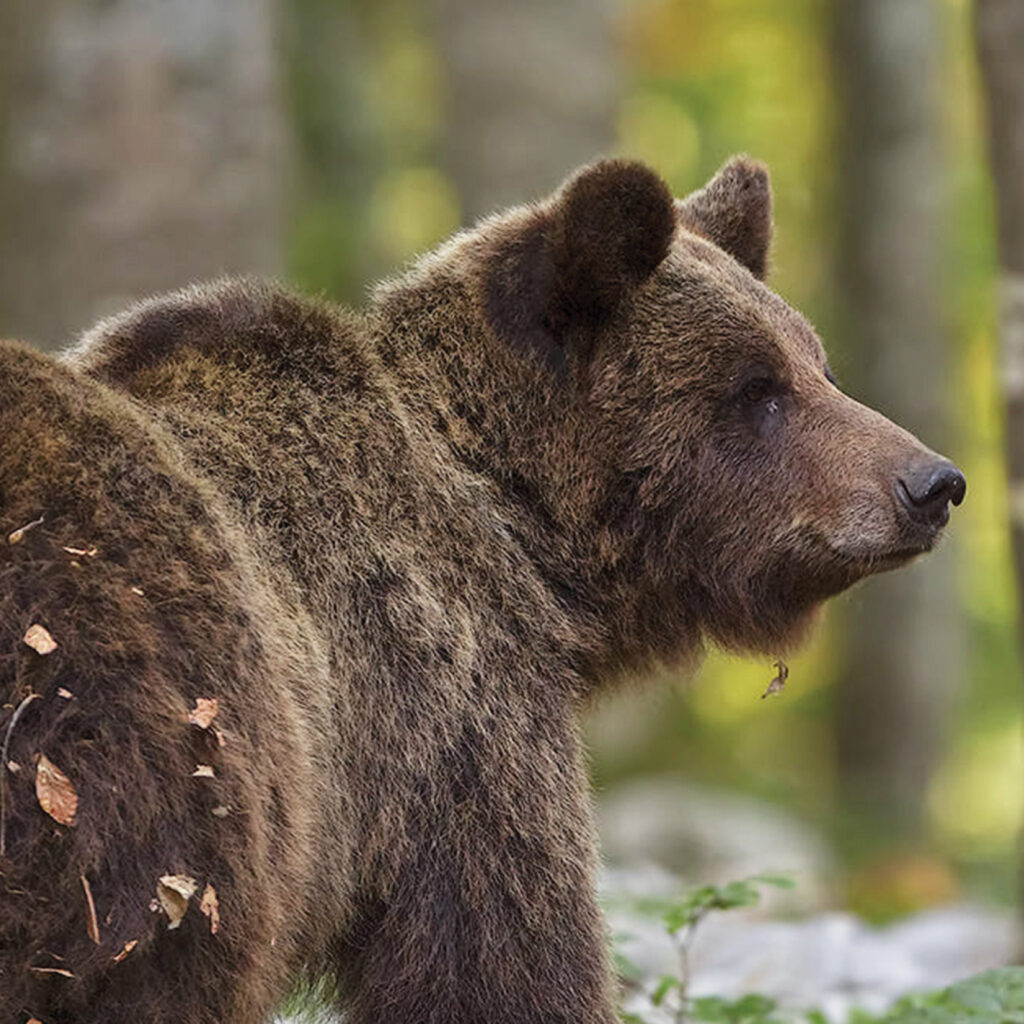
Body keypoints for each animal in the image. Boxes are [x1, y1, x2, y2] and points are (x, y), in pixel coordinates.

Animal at [0, 156, 964, 1024]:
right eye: (757, 388)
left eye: (818, 366)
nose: (933, 483)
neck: (518, 528)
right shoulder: (454, 718)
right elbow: (504, 956)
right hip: (139, 748)